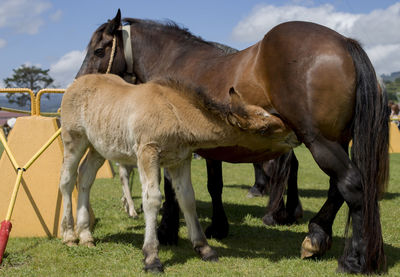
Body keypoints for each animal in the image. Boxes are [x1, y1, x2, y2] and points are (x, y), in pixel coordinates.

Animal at [75, 9, 388, 272]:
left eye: (99, 49)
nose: (79, 84)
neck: (173, 61)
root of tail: (344, 43)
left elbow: (173, 189)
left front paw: (167, 231)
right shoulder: (205, 148)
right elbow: (213, 185)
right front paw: (217, 227)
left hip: (321, 142)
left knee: (351, 186)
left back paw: (354, 259)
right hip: (338, 141)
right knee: (338, 188)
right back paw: (316, 238)